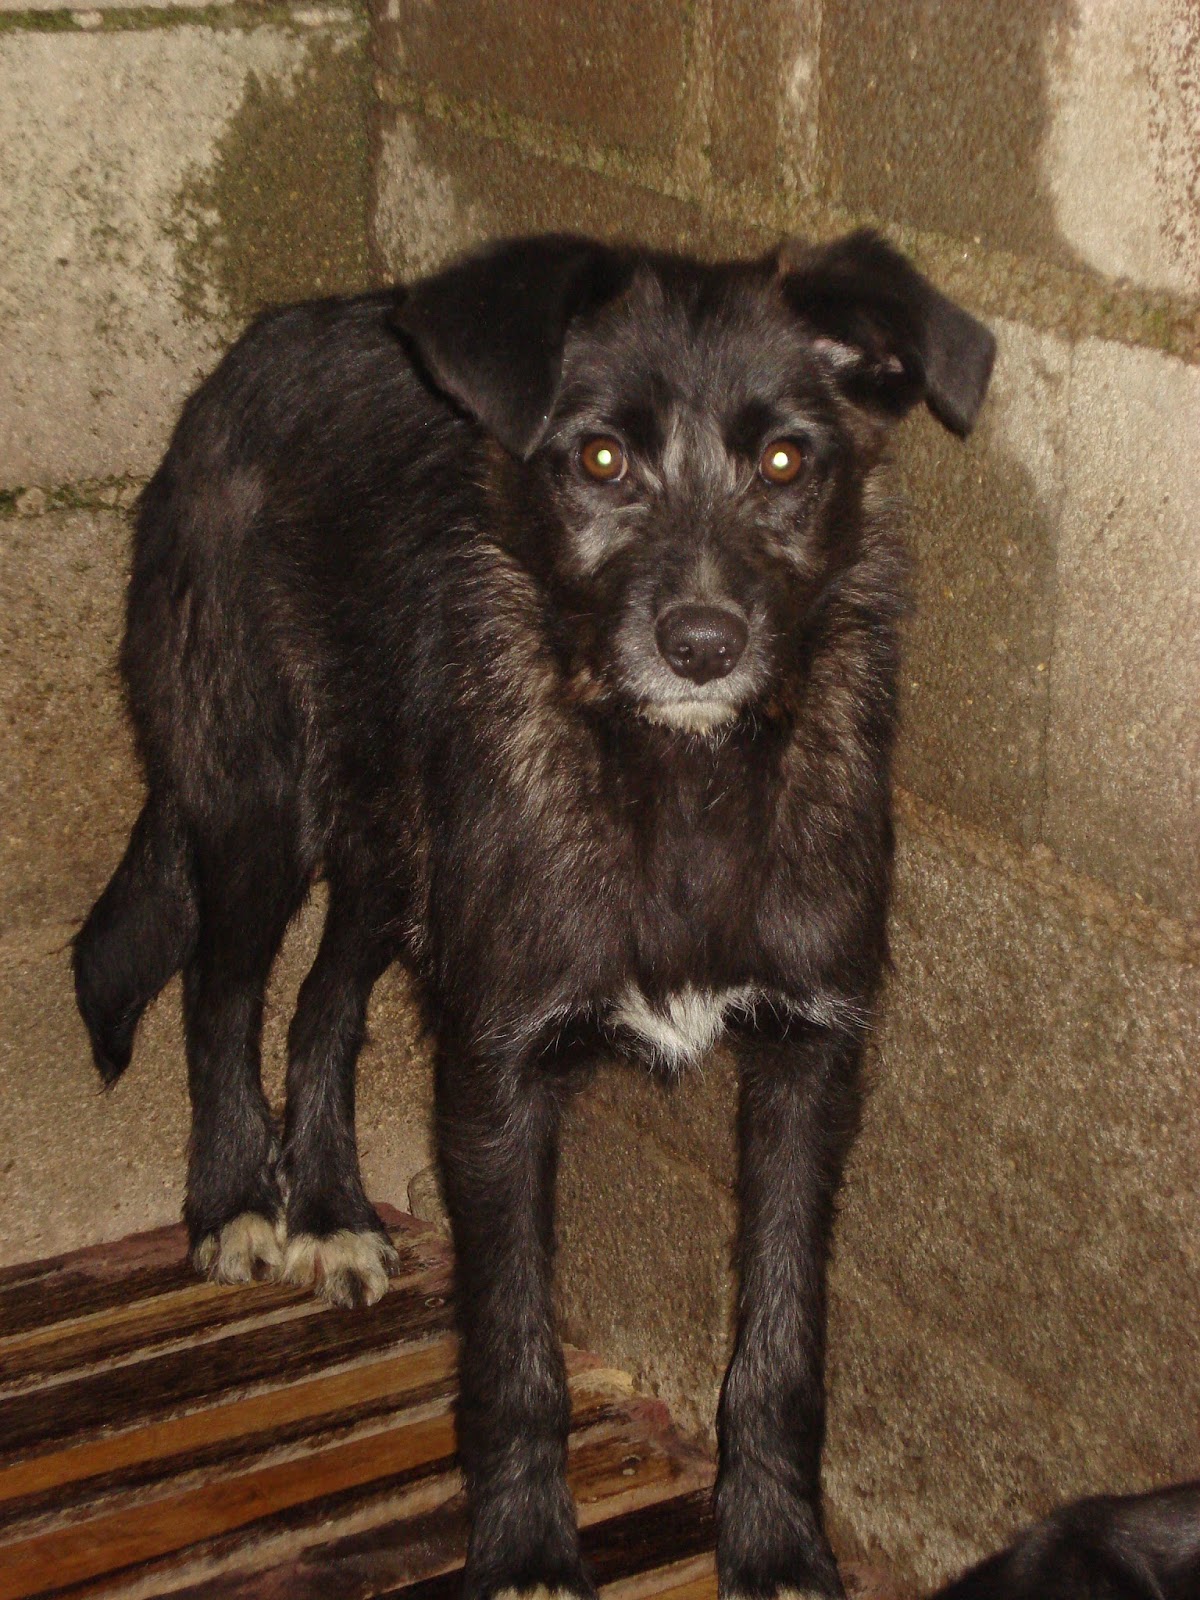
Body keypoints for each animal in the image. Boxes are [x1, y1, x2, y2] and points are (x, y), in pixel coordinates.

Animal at [74, 229, 995, 1600]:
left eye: (787, 461)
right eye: (600, 458)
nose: (704, 641)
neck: (680, 780)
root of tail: (266, 337)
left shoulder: (810, 1061)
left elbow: (782, 1345)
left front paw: (776, 1541)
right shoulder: (497, 1069)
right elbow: (516, 1353)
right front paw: (525, 1546)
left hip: (397, 856)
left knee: (322, 1003)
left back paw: (332, 1207)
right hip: (256, 802)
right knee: (220, 990)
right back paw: (236, 1195)